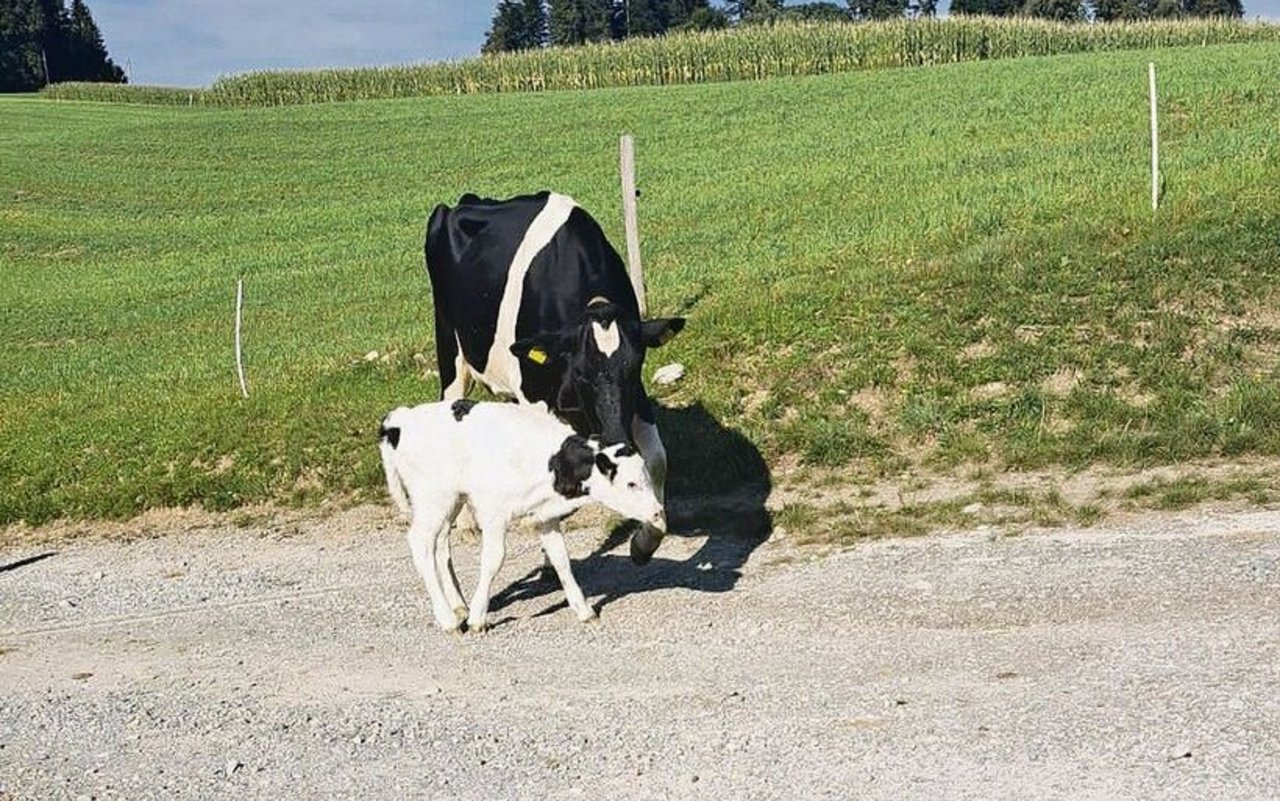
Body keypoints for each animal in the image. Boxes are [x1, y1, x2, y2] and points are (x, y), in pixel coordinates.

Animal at [376, 399, 665, 629]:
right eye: (631, 484)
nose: (657, 511)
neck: (550, 461)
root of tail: (400, 420)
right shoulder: (494, 512)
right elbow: (494, 560)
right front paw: (478, 619)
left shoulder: (546, 518)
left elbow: (561, 560)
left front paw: (583, 609)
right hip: (433, 499)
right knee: (421, 545)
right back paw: (448, 620)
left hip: (448, 501)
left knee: (440, 545)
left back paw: (459, 606)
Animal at [424, 190, 686, 560]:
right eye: (581, 374)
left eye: (636, 366)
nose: (617, 438)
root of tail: (466, 200)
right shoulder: (533, 392)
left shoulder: (637, 395)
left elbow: (658, 459)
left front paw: (644, 542)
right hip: (450, 348)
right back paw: (466, 524)